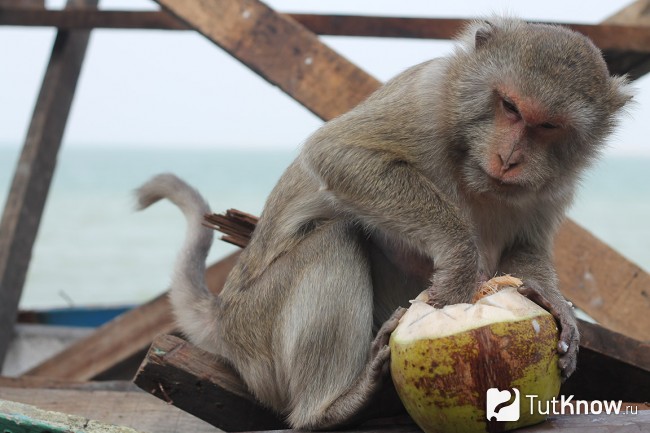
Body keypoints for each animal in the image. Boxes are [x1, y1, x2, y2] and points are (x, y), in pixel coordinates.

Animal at [136, 17, 632, 430]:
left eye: (547, 126)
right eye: (509, 106)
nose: (509, 158)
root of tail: (222, 318)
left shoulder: (557, 184)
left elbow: (525, 248)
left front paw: (553, 303)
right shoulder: (427, 97)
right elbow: (339, 155)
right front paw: (459, 261)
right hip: (256, 332)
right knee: (335, 240)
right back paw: (330, 408)